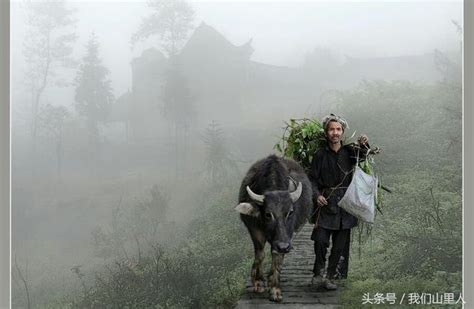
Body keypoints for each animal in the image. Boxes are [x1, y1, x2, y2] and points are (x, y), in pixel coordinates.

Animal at [235, 154, 312, 300]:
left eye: (290, 212)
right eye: (267, 214)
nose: (284, 247)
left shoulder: (286, 236)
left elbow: (277, 257)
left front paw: (275, 288)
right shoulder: (254, 229)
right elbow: (260, 254)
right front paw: (258, 282)